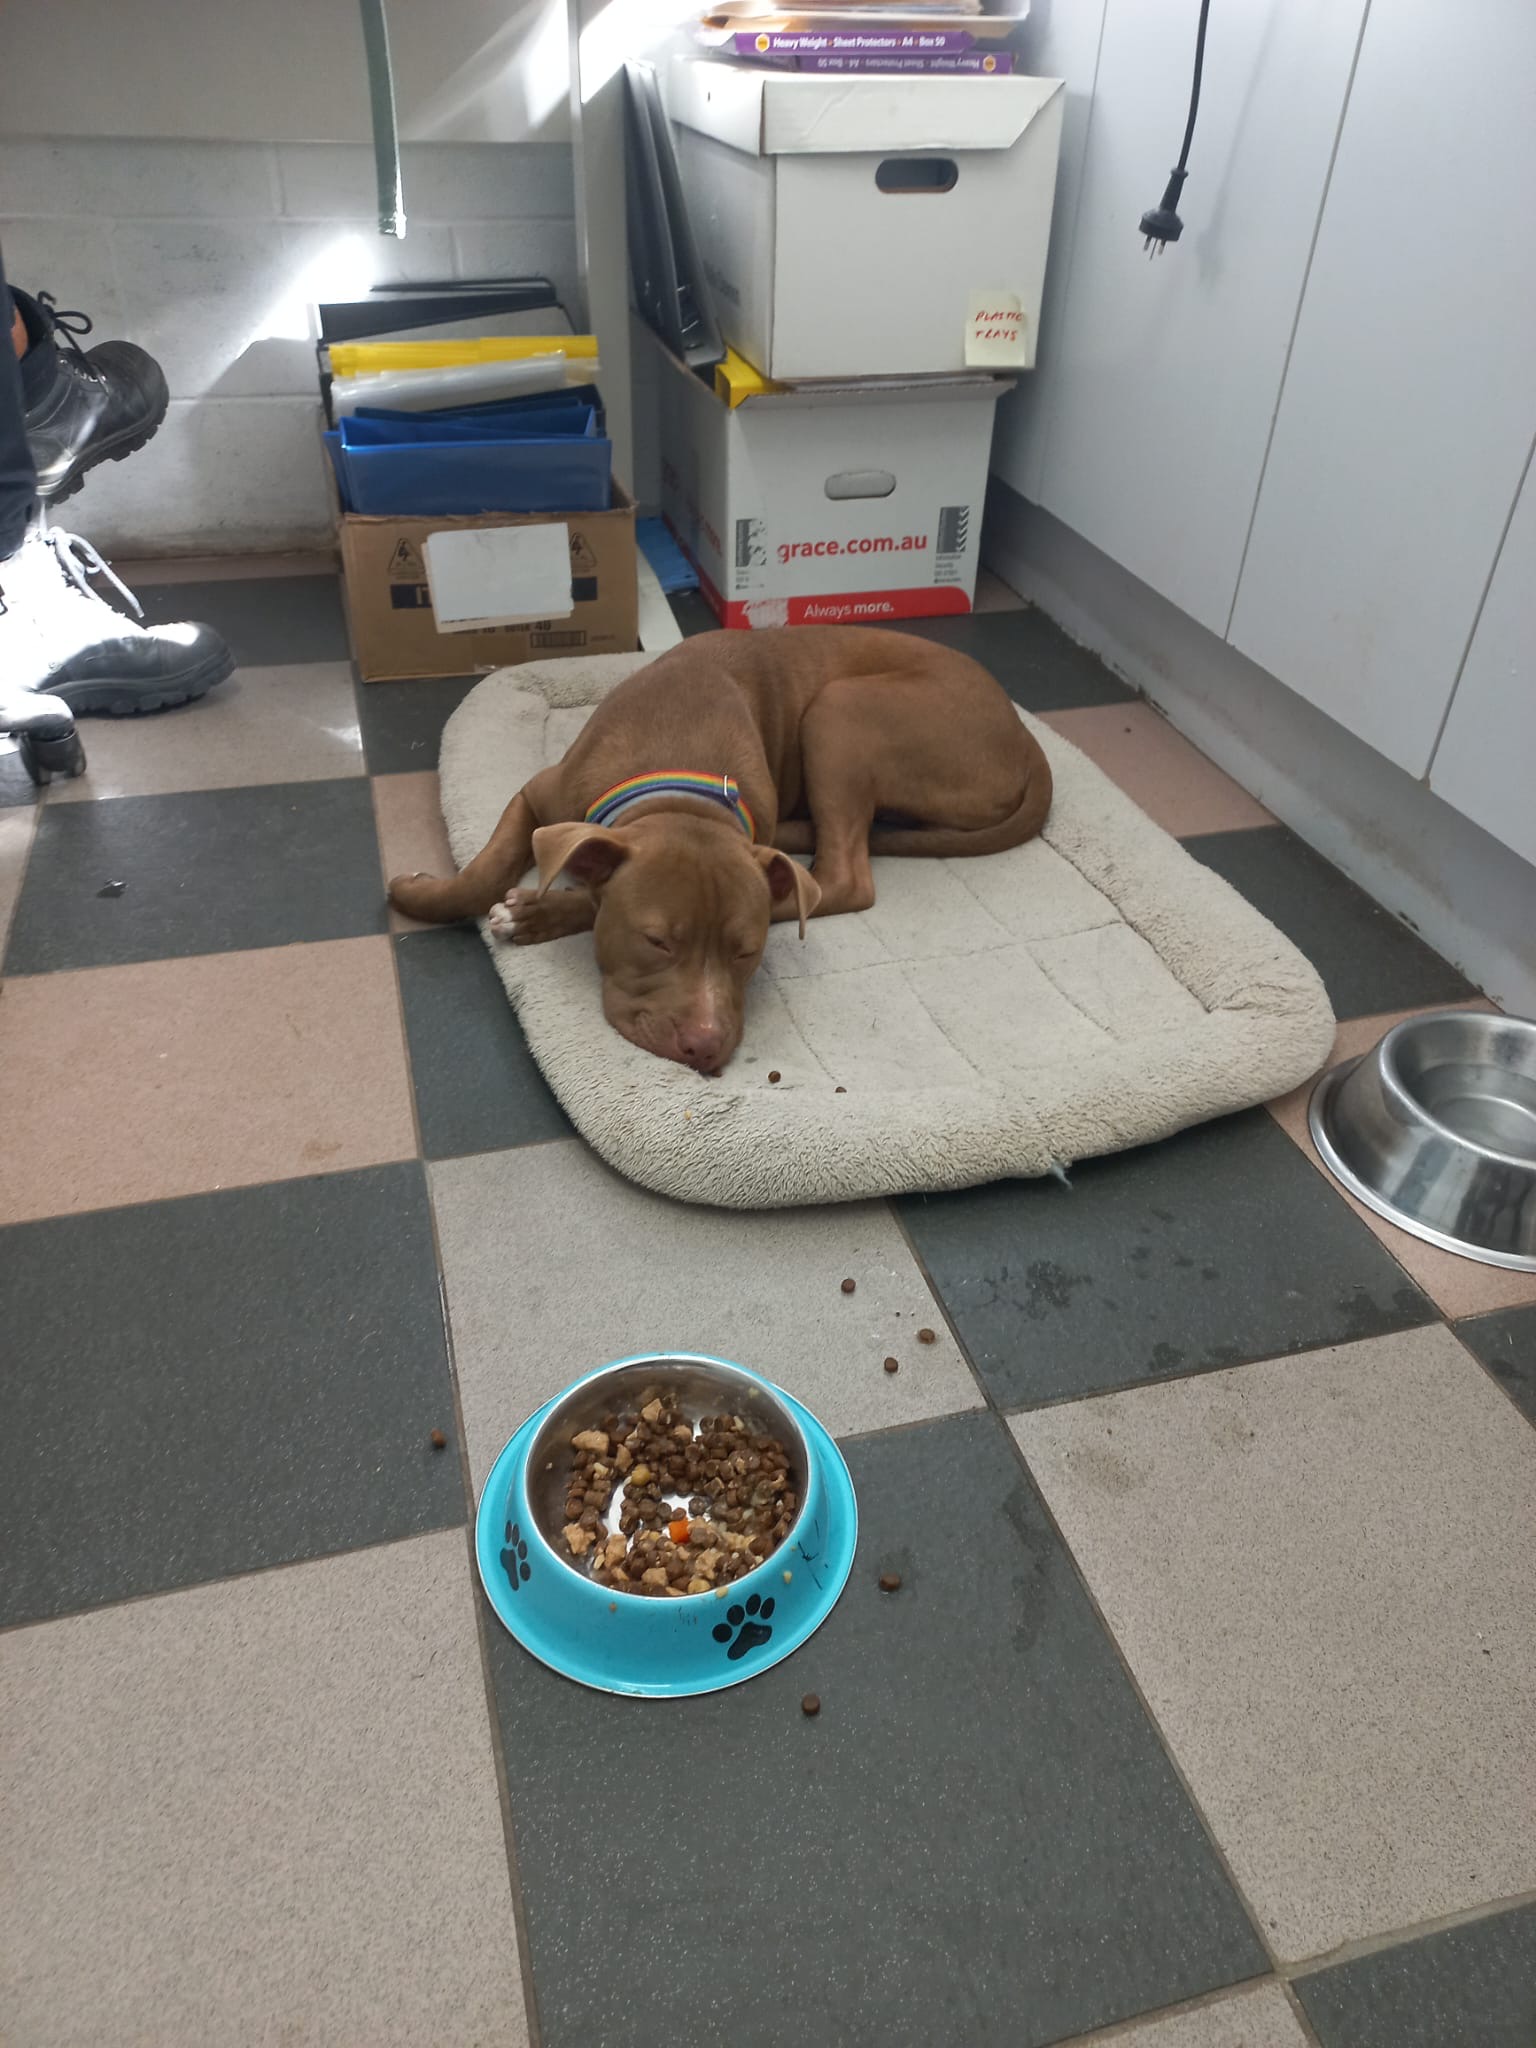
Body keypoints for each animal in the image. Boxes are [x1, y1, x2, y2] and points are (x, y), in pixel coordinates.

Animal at [389, 626, 1052, 1075]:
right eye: (656, 942)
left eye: (746, 951)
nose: (705, 1046)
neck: (681, 785)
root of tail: (1026, 737)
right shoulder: (539, 793)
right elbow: (485, 870)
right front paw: (424, 895)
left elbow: (585, 885)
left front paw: (533, 911)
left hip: (842, 710)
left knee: (843, 878)